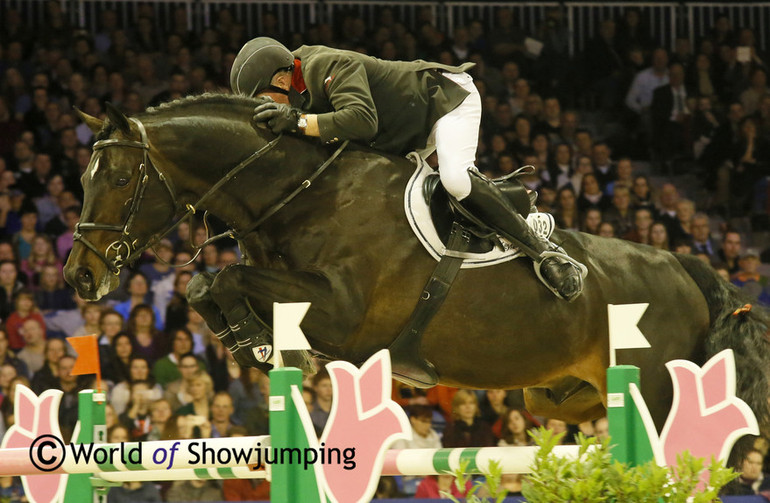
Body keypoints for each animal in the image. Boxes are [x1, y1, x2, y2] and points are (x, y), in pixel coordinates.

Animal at [64, 95, 768, 434]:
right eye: (83, 175)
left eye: (121, 178)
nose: (79, 276)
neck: (300, 190)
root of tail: (685, 268)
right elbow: (204, 282)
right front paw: (254, 343)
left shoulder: (341, 313)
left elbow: (224, 275)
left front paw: (260, 344)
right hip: (560, 398)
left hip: (653, 391)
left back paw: (559, 268)